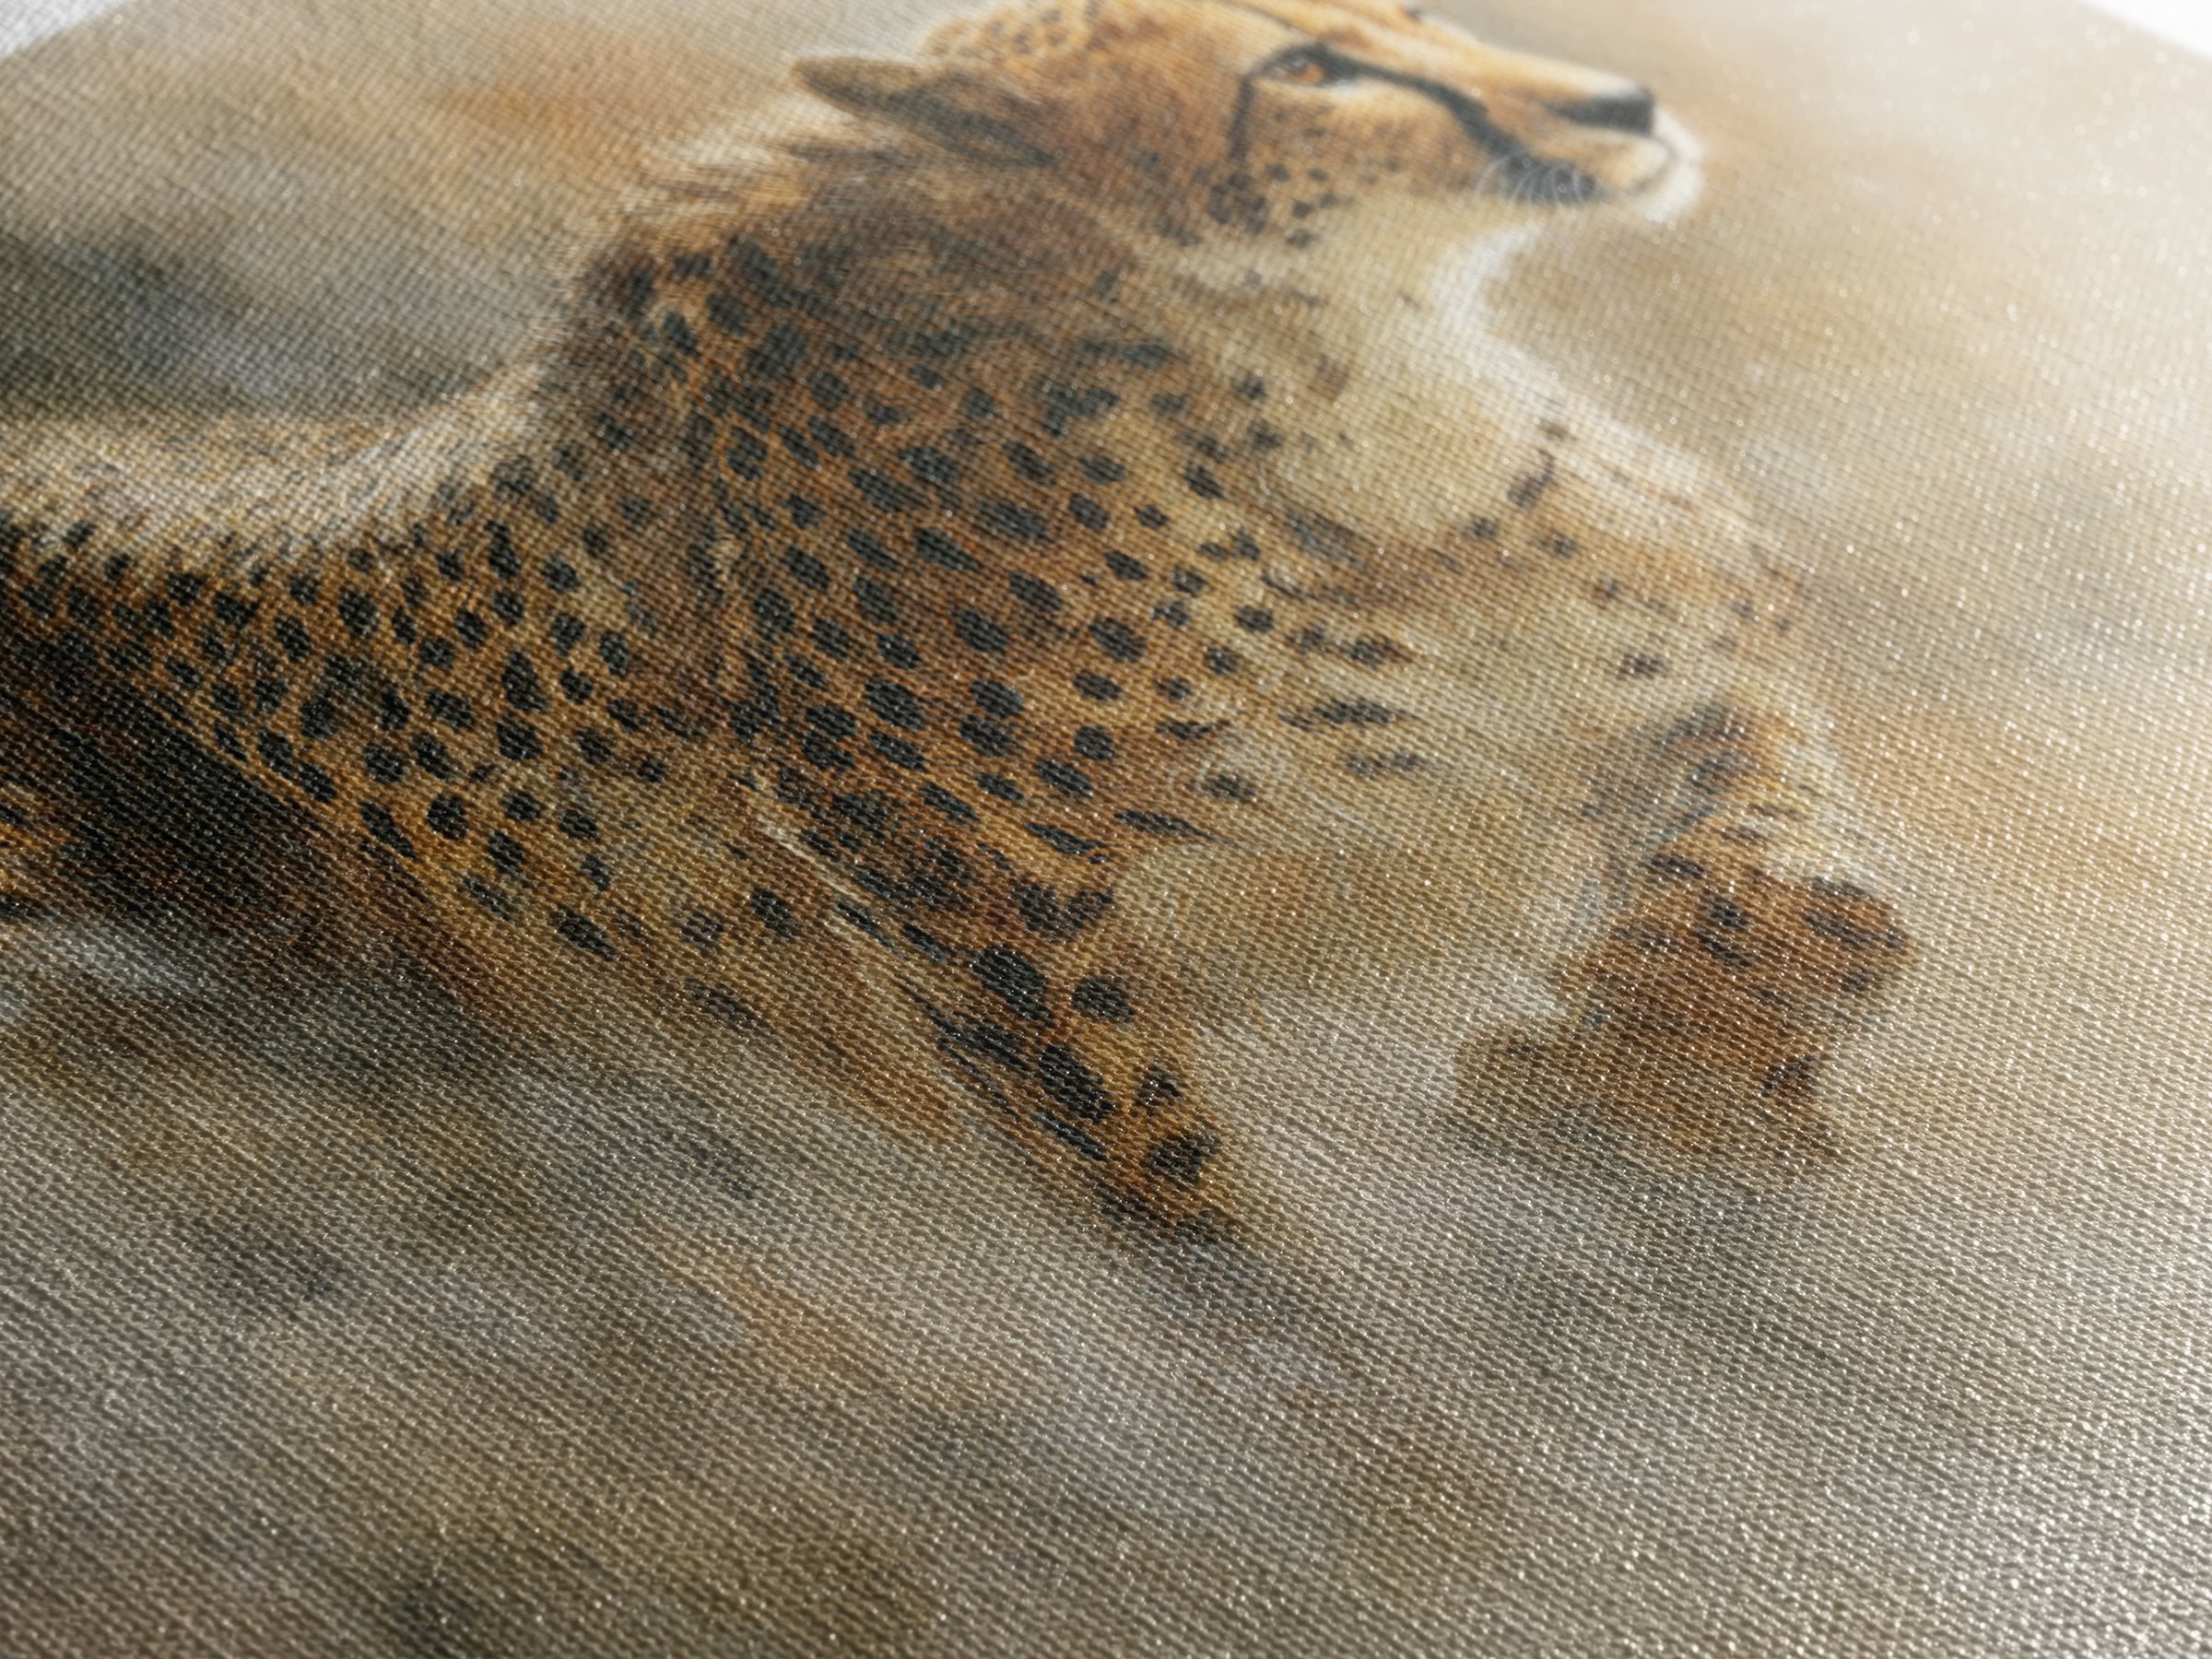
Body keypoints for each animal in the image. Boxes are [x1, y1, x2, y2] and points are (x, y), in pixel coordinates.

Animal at [0, 0, 1908, 1230]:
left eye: (1414, 15)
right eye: (1304, 69)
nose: (1637, 103)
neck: (1314, 378)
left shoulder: (1683, 665)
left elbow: (1789, 859)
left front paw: (1675, 1042)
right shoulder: (950, 866)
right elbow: (1144, 1161)